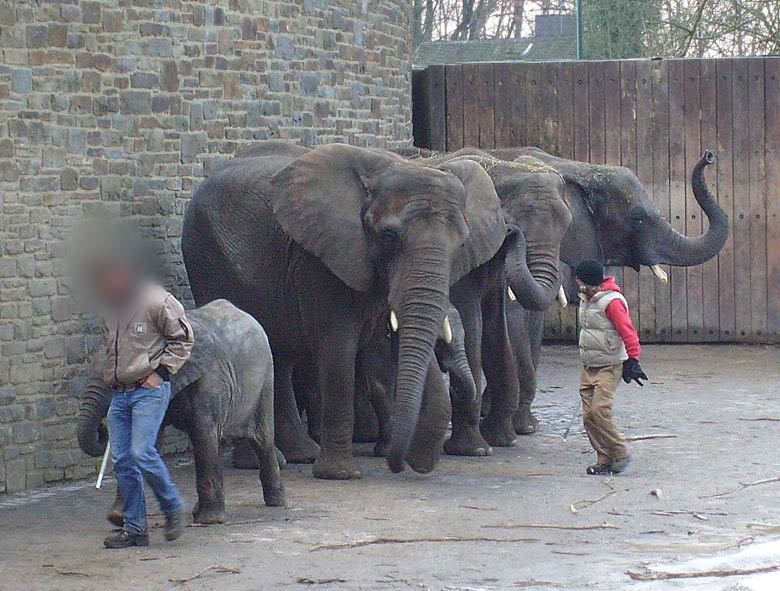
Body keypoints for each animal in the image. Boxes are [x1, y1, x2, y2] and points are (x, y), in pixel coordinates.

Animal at [76, 300, 282, 528]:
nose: (102, 428)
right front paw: (117, 519)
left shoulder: (210, 378)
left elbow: (202, 434)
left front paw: (209, 521)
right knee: (219, 441)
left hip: (265, 379)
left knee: (261, 439)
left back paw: (275, 502)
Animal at [181, 143, 506, 480]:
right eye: (388, 237)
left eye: (461, 244)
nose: (402, 465)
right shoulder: (319, 258)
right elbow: (338, 346)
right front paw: (341, 474)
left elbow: (384, 348)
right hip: (206, 257)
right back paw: (266, 462)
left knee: (278, 360)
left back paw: (300, 455)